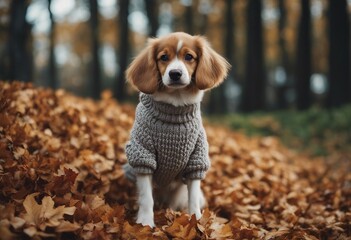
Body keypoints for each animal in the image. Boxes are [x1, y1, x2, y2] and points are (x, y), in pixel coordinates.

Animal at [124, 31, 231, 227]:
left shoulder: (196, 160)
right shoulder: (143, 155)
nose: (175, 73)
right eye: (163, 57)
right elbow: (146, 197)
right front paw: (145, 222)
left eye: (189, 56)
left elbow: (193, 198)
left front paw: (196, 221)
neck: (175, 105)